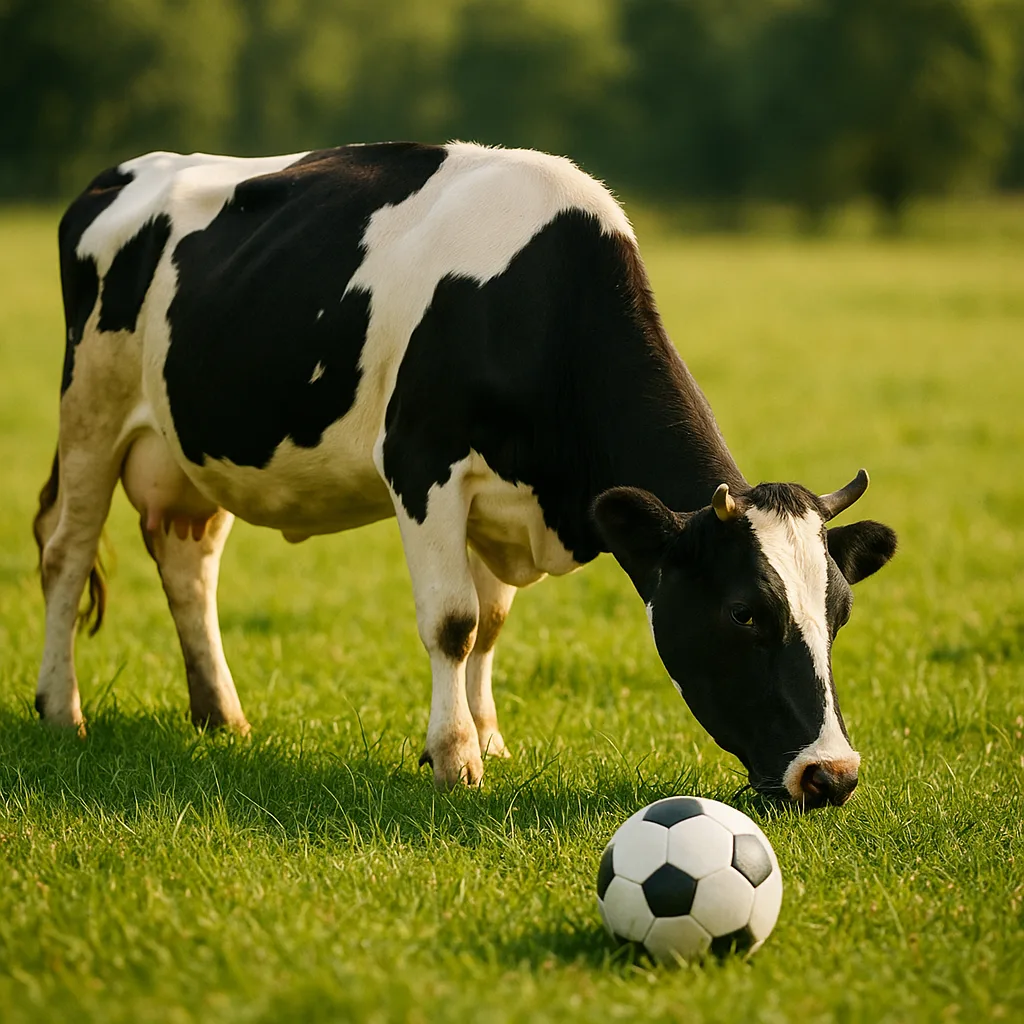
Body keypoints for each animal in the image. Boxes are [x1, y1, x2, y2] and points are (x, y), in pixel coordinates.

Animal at [33, 141, 897, 806]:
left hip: (190, 453)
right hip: (90, 409)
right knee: (65, 553)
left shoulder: (500, 504)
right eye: (745, 613)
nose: (832, 776)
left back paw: (221, 715)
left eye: (840, 614)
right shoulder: (423, 465)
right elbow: (453, 621)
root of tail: (125, 171)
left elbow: (491, 624)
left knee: (189, 565)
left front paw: (488, 738)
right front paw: (455, 759)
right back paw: (61, 709)